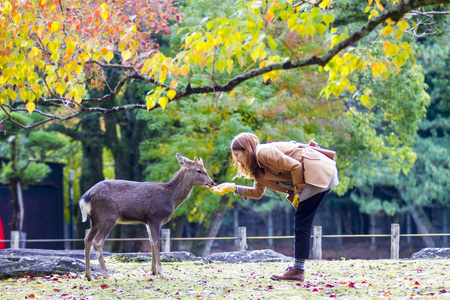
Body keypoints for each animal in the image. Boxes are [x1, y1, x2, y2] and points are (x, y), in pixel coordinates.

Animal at [79, 154, 214, 280]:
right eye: (199, 170)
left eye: (205, 169)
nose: (212, 182)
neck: (171, 198)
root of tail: (85, 197)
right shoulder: (155, 217)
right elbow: (157, 242)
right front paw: (161, 272)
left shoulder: (147, 221)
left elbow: (151, 242)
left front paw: (153, 271)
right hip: (108, 217)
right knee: (97, 242)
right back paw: (105, 274)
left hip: (95, 221)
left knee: (87, 239)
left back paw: (88, 275)